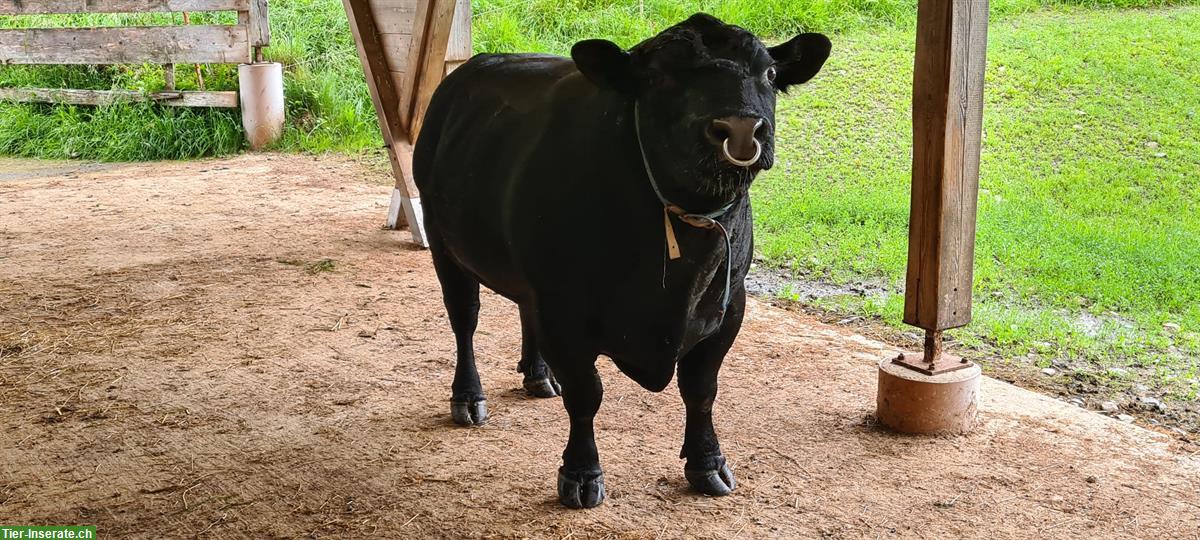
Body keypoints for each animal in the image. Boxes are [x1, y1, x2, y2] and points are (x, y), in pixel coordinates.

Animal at [410, 13, 825, 511]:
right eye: (662, 76)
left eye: (769, 72)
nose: (742, 130)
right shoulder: (563, 310)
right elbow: (586, 395)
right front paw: (580, 473)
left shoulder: (730, 304)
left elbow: (702, 390)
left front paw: (707, 464)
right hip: (442, 238)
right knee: (464, 319)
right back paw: (468, 398)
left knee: (522, 310)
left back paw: (538, 375)